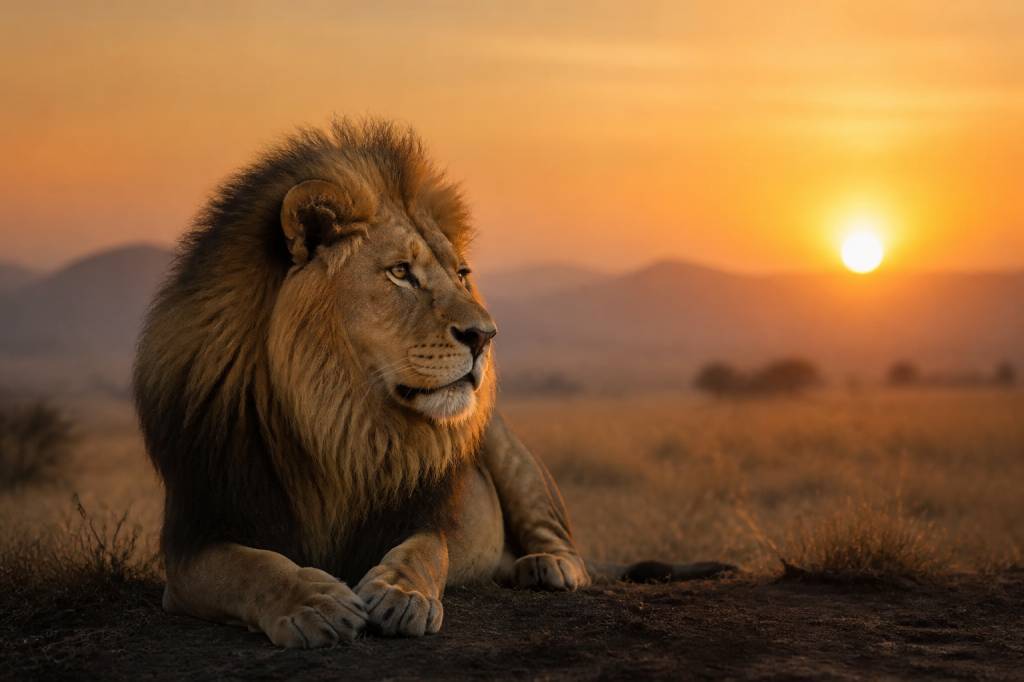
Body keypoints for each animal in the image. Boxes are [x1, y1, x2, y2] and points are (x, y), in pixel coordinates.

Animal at [133, 119, 730, 648]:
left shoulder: (421, 513)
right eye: (401, 272)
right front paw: (313, 603)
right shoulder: (195, 537)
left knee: (565, 544)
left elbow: (423, 553)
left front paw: (402, 596)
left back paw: (546, 566)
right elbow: (254, 567)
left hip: (509, 451)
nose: (486, 335)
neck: (335, 421)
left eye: (461, 274)